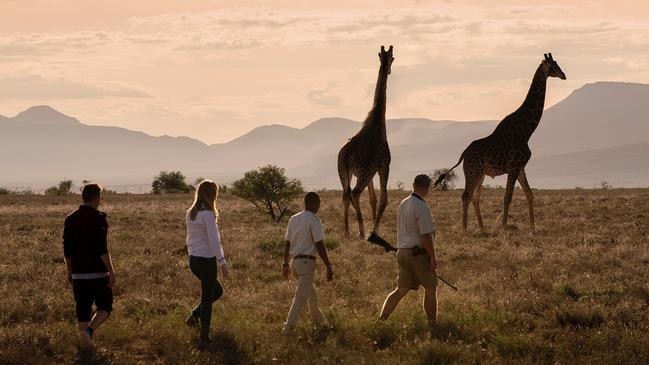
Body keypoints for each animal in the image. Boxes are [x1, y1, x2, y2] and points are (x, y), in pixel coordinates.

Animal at [340, 44, 394, 239]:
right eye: (393, 58)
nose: (389, 70)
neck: (377, 121)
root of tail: (345, 155)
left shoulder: (372, 170)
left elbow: (373, 199)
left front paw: (373, 228)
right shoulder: (383, 165)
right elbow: (383, 199)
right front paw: (374, 230)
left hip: (344, 171)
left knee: (345, 194)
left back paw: (347, 231)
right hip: (363, 172)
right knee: (354, 193)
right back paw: (362, 231)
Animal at [432, 52, 564, 232]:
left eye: (557, 64)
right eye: (553, 66)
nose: (564, 75)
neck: (527, 131)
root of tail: (463, 153)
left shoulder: (520, 167)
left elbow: (529, 194)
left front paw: (533, 227)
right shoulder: (514, 166)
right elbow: (508, 196)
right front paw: (504, 227)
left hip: (480, 173)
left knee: (475, 197)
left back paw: (482, 228)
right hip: (473, 172)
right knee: (466, 195)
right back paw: (465, 229)